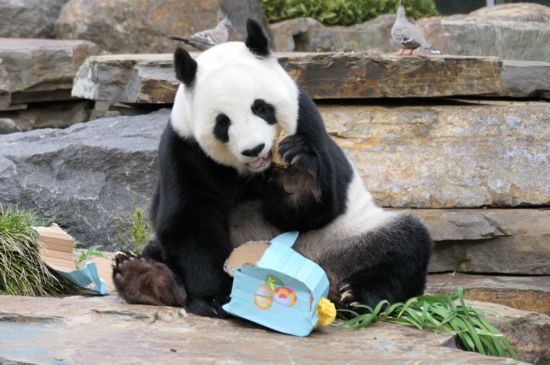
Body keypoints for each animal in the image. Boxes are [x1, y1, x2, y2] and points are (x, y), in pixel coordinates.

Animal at [114, 19, 434, 316]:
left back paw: (354, 295)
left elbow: (314, 209)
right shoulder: (183, 147)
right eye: (222, 122)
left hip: (349, 235)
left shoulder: (307, 121)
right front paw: (216, 297)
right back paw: (143, 276)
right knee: (158, 249)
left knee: (405, 245)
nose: (254, 149)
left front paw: (295, 178)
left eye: (261, 107)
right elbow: (188, 218)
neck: (253, 172)